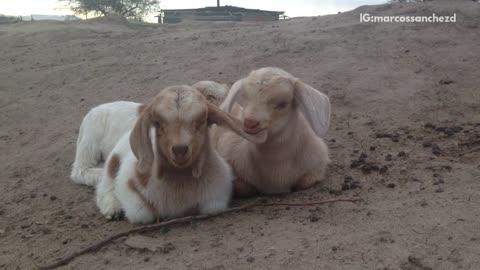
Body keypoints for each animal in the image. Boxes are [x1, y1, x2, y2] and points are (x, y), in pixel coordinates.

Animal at [95, 85, 260, 224]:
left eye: (201, 121)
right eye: (158, 123)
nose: (180, 150)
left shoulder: (217, 197)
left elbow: (210, 208)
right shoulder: (128, 184)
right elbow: (142, 214)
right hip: (112, 164)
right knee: (104, 188)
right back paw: (112, 208)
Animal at [212, 67, 332, 197]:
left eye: (283, 104)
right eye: (245, 97)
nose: (250, 123)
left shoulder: (317, 166)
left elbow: (305, 182)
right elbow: (244, 189)